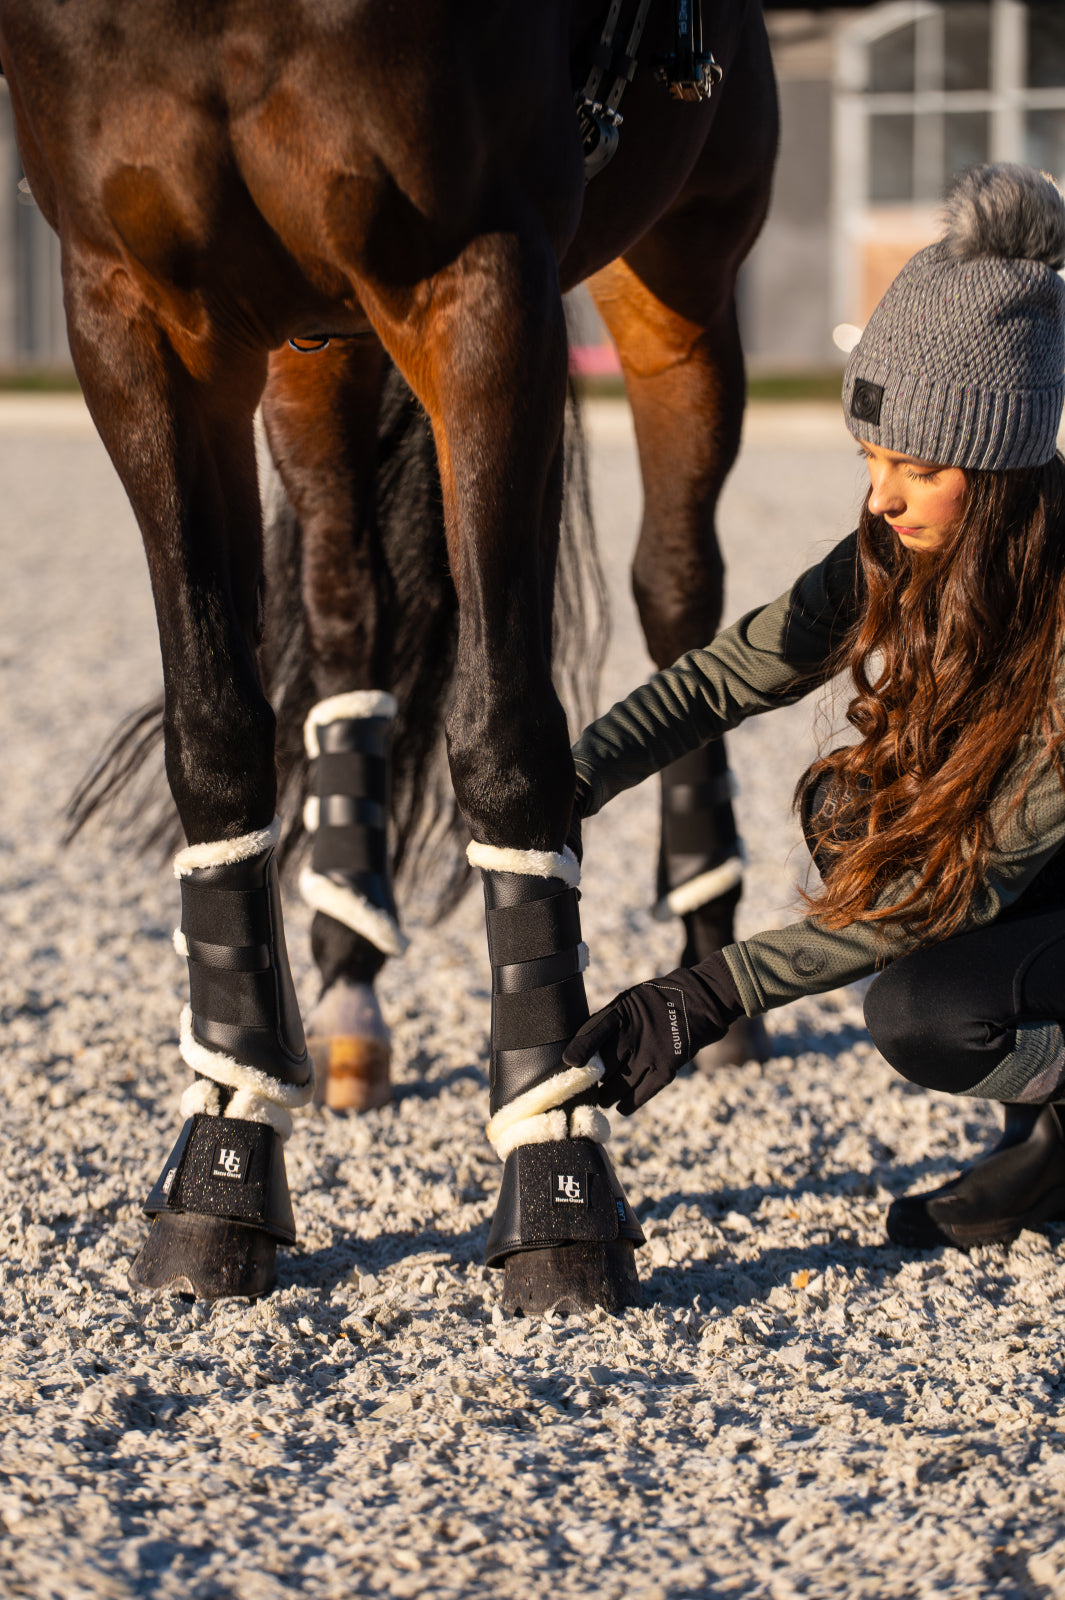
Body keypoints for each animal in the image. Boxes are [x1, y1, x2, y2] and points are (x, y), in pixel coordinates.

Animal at [4, 0, 777, 1312]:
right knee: (345, 606)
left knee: (680, 593)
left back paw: (708, 951)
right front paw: (224, 1154)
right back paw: (349, 971)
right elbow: (216, 727)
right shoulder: (134, 310)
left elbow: (510, 734)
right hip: (318, 345)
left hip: (681, 278)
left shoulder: (478, 278)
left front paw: (559, 1172)